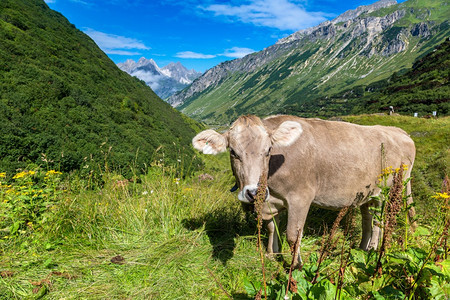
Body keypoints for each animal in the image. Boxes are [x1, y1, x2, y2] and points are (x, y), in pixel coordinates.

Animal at [192, 114, 416, 264]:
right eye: (233, 152)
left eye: (268, 151)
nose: (253, 192)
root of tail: (399, 131)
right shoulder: (271, 200)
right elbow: (272, 227)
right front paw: (272, 254)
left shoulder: (301, 197)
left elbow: (293, 235)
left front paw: (295, 265)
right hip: (367, 193)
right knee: (368, 217)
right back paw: (362, 248)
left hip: (390, 189)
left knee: (382, 219)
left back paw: (372, 249)